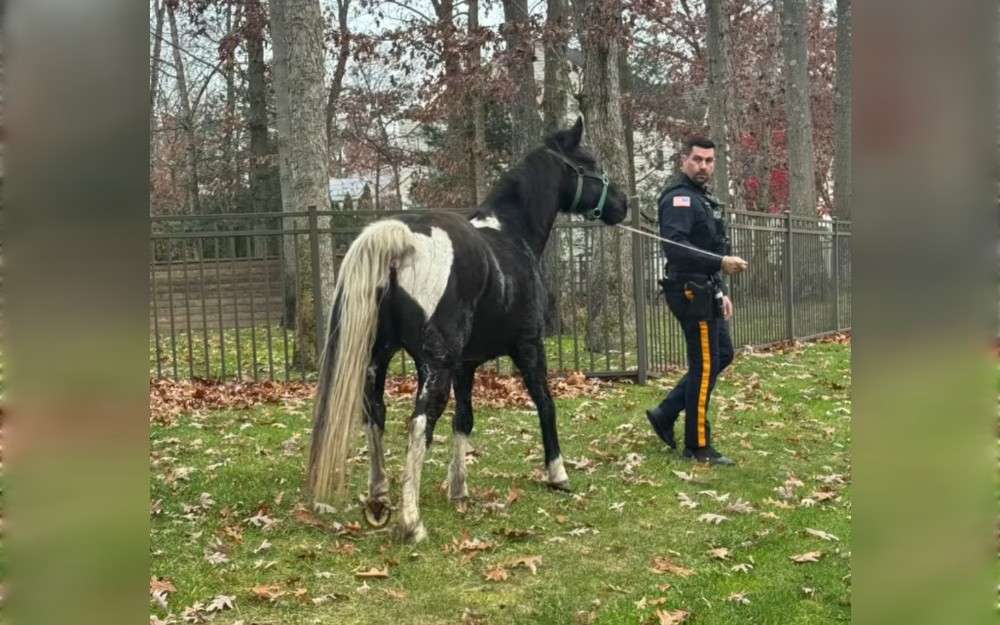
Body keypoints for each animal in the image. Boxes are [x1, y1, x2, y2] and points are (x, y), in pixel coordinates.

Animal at [307, 118, 628, 542]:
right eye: (588, 161)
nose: (622, 204)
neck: (511, 235)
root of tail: (401, 241)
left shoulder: (467, 364)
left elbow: (464, 419)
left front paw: (458, 488)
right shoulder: (529, 347)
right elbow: (545, 403)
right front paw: (557, 474)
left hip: (379, 359)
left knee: (375, 413)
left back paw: (379, 498)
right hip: (435, 367)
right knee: (419, 423)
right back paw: (412, 522)